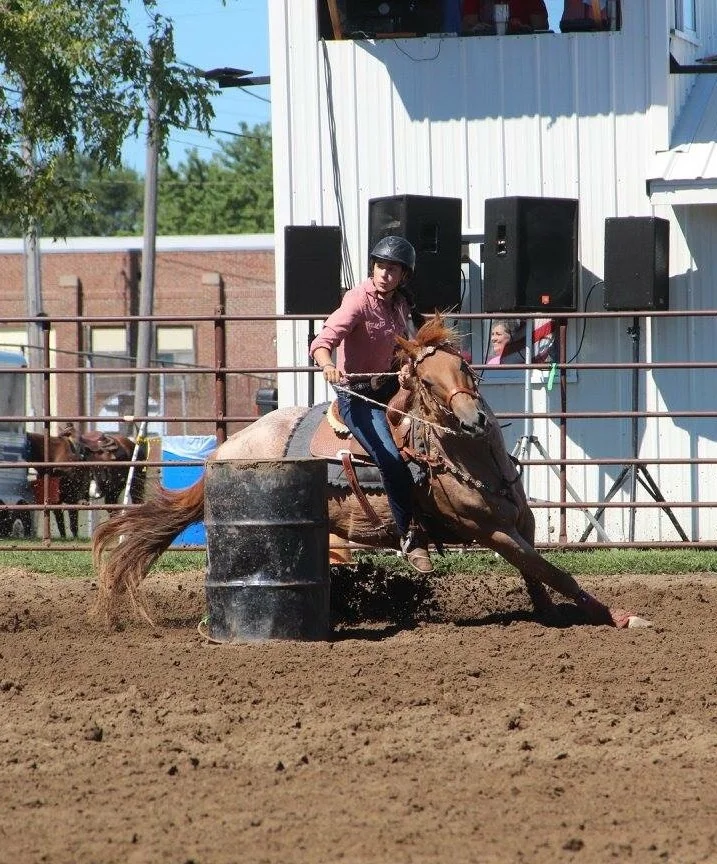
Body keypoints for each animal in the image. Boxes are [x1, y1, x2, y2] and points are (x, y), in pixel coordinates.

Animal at [91, 315, 648, 630]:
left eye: (465, 368)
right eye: (426, 381)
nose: (474, 420)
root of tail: (229, 447)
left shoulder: (522, 522)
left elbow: (538, 573)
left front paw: (551, 614)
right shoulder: (488, 530)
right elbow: (553, 570)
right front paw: (618, 616)